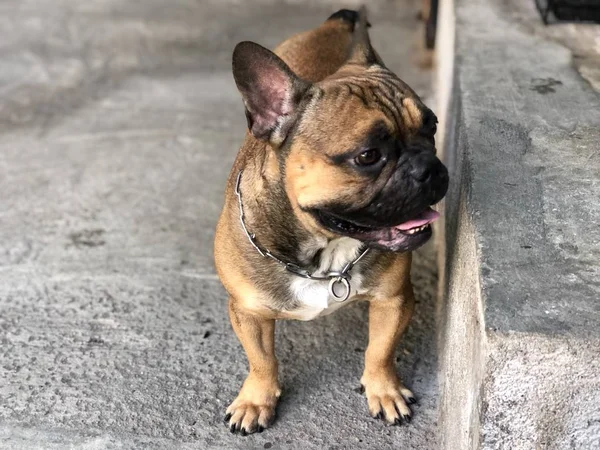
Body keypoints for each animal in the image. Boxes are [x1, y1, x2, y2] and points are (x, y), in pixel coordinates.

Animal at [213, 7, 448, 436]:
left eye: (432, 126)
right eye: (368, 156)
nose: (429, 167)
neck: (322, 251)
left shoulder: (393, 300)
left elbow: (380, 350)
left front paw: (384, 390)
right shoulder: (248, 312)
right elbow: (262, 360)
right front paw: (256, 400)